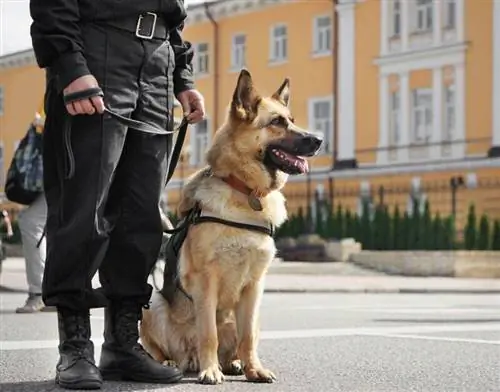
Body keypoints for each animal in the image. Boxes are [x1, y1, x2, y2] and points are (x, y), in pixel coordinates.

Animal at [139, 69, 322, 384]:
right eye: (277, 122)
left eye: (292, 120)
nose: (320, 139)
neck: (245, 192)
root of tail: (187, 359)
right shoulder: (206, 282)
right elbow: (208, 333)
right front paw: (210, 370)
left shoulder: (254, 286)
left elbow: (247, 337)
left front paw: (254, 369)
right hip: (152, 304)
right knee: (165, 350)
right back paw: (173, 364)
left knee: (238, 342)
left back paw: (233, 363)